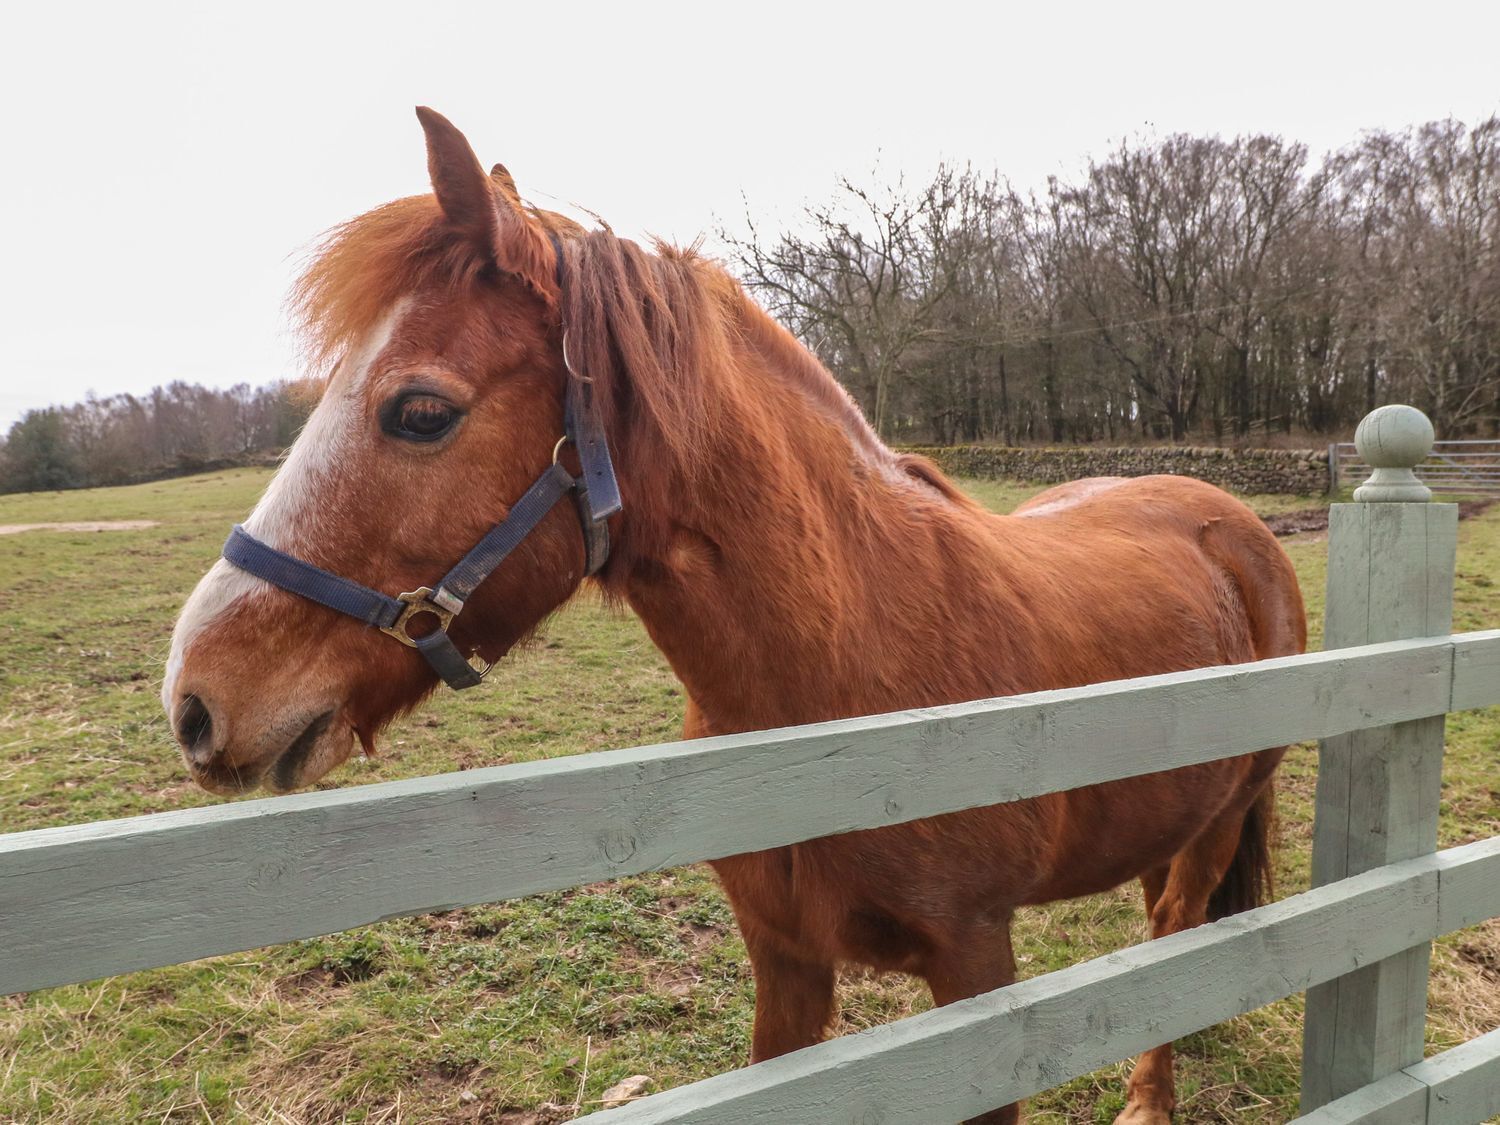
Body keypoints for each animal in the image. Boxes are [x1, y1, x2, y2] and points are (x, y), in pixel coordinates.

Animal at [162, 107, 1306, 1124]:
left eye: (420, 412)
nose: (197, 700)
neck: (854, 673)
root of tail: (1230, 520)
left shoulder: (975, 963)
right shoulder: (783, 957)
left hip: (1221, 814)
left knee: (1175, 921)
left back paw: (1148, 1097)